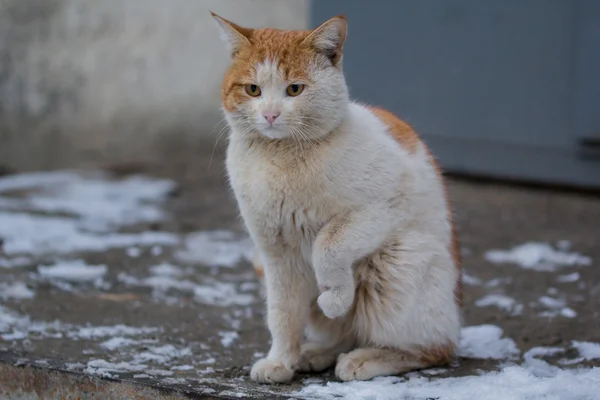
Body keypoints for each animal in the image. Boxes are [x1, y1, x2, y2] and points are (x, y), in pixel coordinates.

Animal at [212, 11, 464, 382]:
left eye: (294, 89)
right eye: (253, 89)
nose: (270, 114)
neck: (279, 157)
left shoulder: (380, 207)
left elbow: (327, 246)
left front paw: (335, 297)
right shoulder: (275, 256)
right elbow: (282, 315)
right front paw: (280, 361)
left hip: (399, 263)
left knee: (435, 349)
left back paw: (364, 359)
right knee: (344, 334)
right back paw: (315, 353)